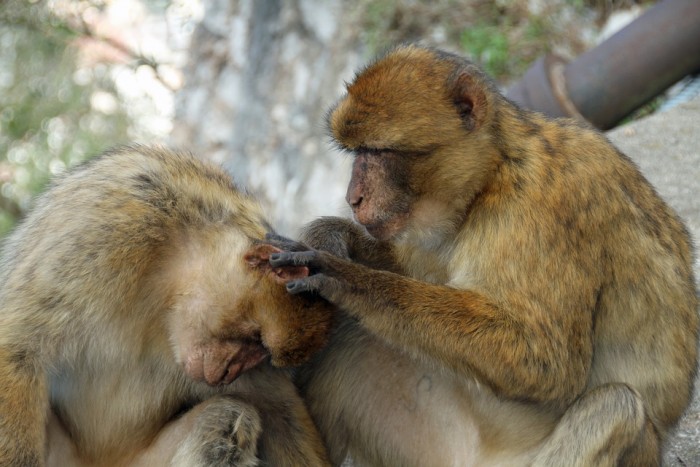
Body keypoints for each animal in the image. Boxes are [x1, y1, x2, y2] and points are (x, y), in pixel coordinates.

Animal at [0, 146, 332, 467]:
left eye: (261, 353)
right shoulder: (105, 232)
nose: (226, 373)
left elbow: (277, 409)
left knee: (228, 416)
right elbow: (19, 349)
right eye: (254, 339)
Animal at [266, 44, 696, 467]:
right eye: (357, 152)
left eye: (378, 151)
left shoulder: (543, 208)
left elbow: (545, 362)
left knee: (615, 407)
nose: (352, 198)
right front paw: (329, 236)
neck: (495, 171)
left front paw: (342, 275)